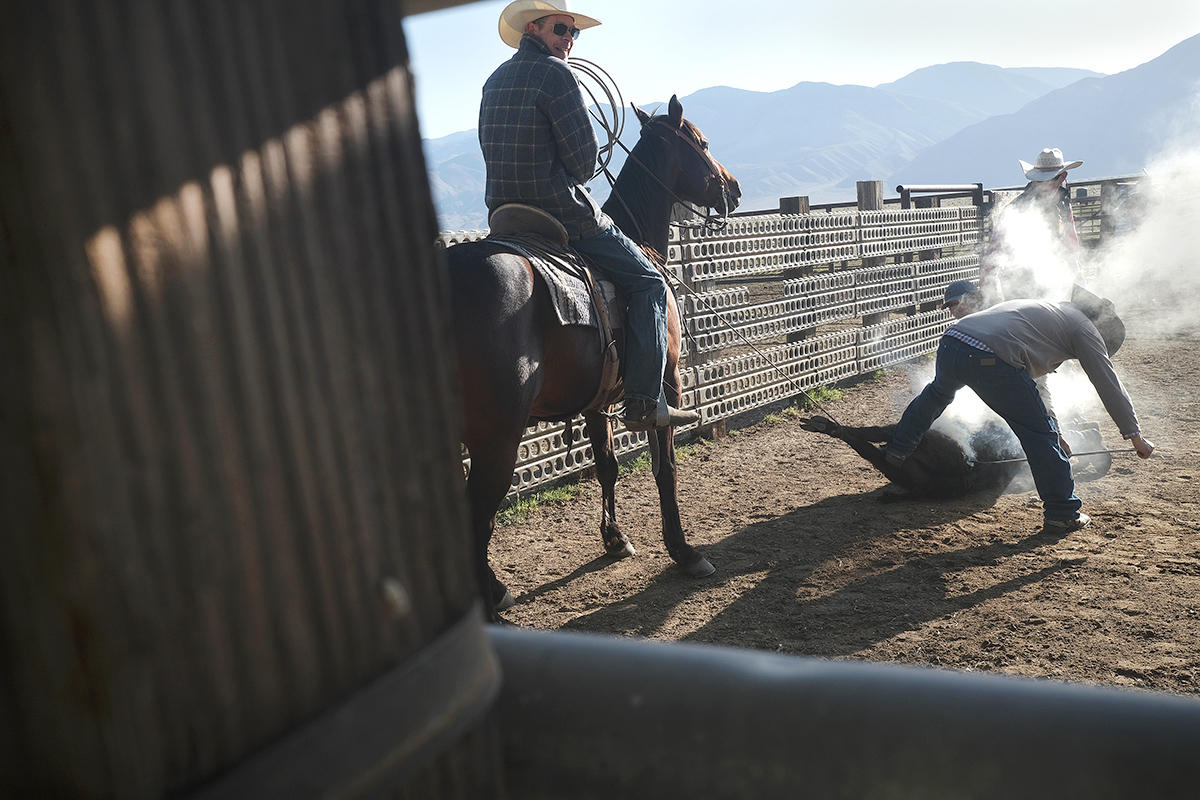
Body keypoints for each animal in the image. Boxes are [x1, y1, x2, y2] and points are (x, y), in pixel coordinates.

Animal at [446, 97, 734, 618]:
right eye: (701, 143)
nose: (734, 188)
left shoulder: (597, 402)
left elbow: (607, 464)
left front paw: (615, 539)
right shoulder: (667, 384)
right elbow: (665, 468)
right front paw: (684, 551)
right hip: (496, 437)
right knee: (479, 513)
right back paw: (492, 600)